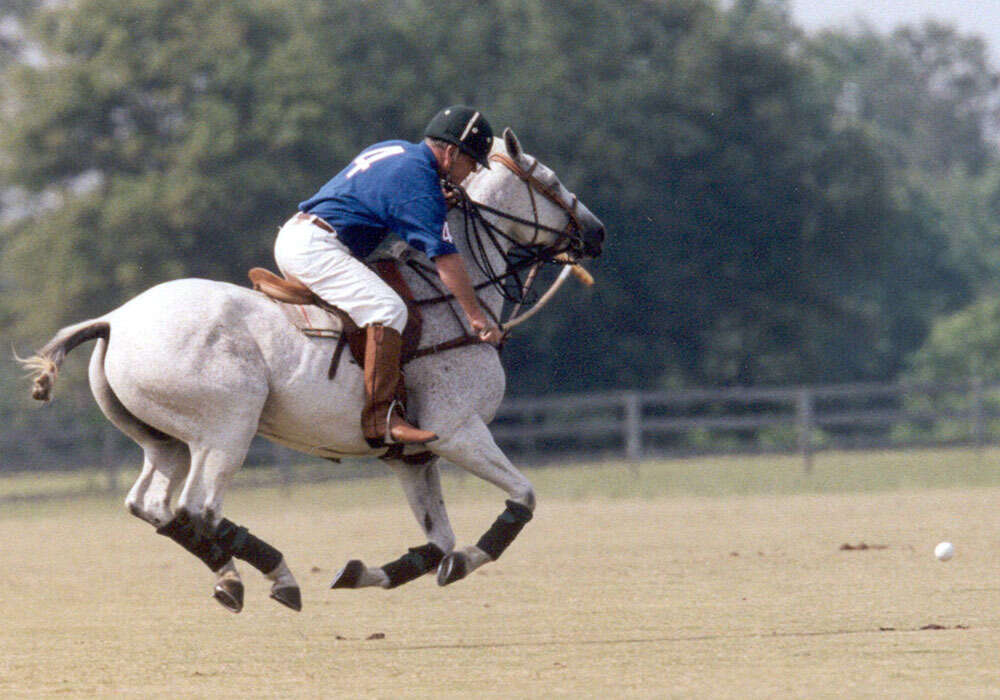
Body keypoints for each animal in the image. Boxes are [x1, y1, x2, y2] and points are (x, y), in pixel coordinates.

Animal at [21, 127, 600, 612]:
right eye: (550, 181)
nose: (596, 233)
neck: (449, 298)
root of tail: (115, 319)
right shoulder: (457, 431)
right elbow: (522, 498)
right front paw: (466, 563)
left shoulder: (412, 457)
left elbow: (438, 543)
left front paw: (362, 572)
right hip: (227, 425)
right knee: (197, 508)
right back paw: (273, 574)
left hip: (165, 439)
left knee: (153, 505)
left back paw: (233, 576)